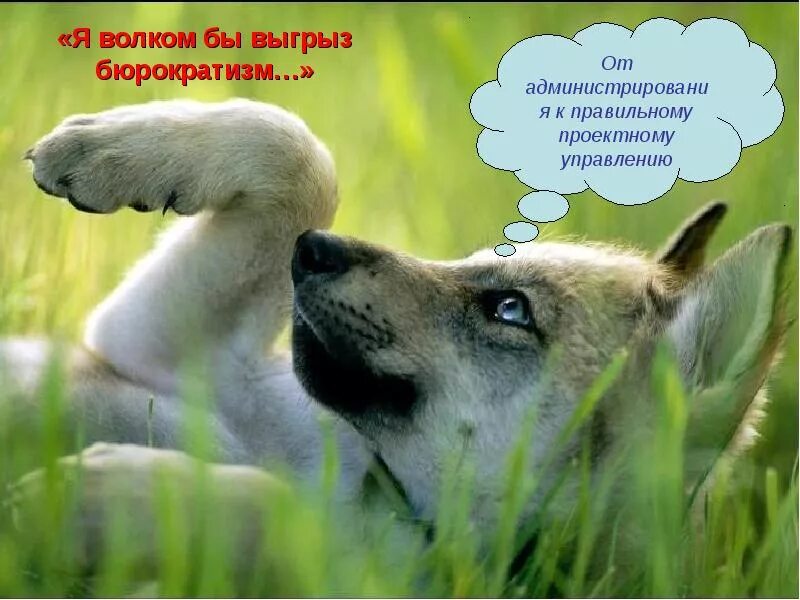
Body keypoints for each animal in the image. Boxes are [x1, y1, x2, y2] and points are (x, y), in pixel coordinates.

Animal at [1, 99, 792, 579]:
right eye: (476, 261)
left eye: (510, 310)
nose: (311, 250)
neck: (370, 481)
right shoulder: (155, 345)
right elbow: (295, 148)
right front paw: (101, 148)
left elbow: (280, 514)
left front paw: (105, 497)